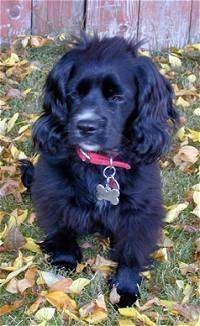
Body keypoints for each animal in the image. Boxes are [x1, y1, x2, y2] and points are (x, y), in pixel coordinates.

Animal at [19, 34, 178, 306]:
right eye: (74, 93)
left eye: (117, 97)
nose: (85, 126)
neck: (102, 165)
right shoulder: (54, 192)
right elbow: (62, 228)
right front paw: (64, 259)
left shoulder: (140, 210)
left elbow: (131, 248)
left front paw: (125, 287)